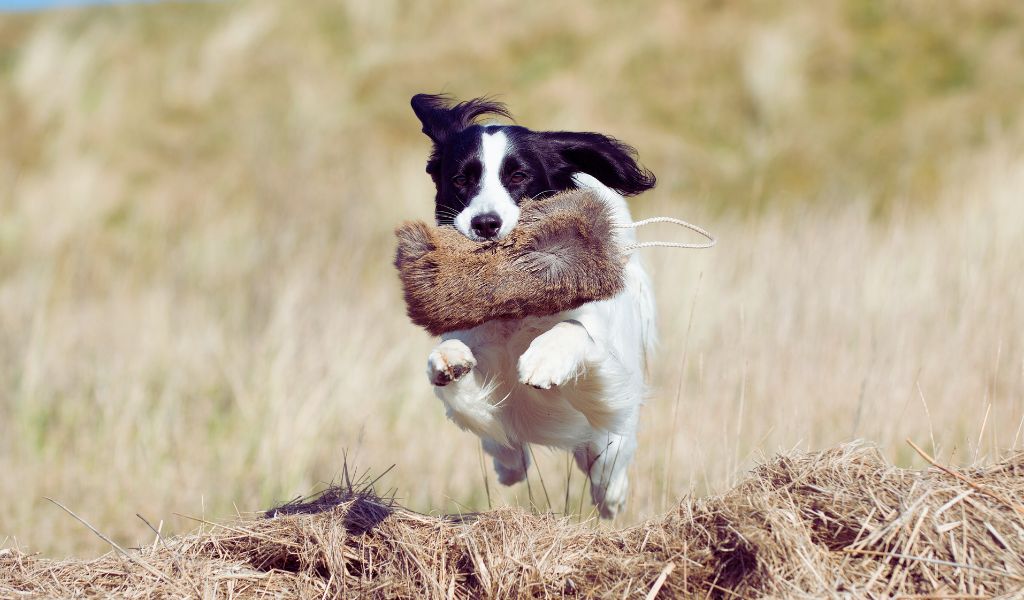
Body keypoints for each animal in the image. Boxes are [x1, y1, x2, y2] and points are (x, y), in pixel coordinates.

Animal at [407, 93, 655, 513]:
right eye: (461, 179)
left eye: (519, 177)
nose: (485, 224)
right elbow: (463, 381)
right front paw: (448, 361)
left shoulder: (606, 360)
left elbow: (575, 330)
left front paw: (543, 360)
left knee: (611, 448)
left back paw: (610, 492)